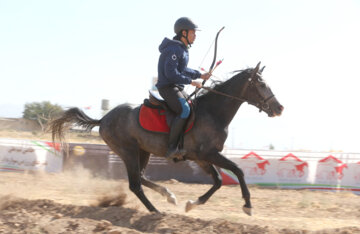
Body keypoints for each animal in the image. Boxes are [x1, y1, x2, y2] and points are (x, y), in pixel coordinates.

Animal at [49, 62, 282, 216]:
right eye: (261, 84)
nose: (279, 108)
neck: (213, 112)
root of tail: (104, 119)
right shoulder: (209, 153)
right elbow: (238, 171)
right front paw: (248, 205)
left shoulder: (202, 157)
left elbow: (217, 181)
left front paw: (192, 203)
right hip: (128, 152)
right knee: (135, 184)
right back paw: (155, 211)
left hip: (143, 152)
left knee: (141, 178)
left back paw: (168, 195)